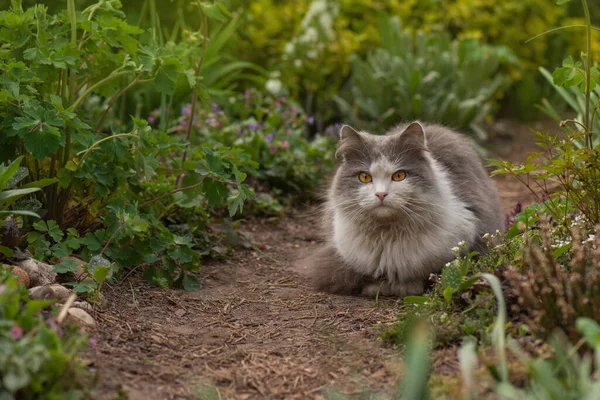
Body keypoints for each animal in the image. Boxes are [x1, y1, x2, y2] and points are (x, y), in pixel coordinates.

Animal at [308, 122, 504, 296]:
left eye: (399, 176)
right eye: (364, 177)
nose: (381, 194)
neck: (387, 236)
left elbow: (426, 273)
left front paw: (406, 287)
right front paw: (377, 288)